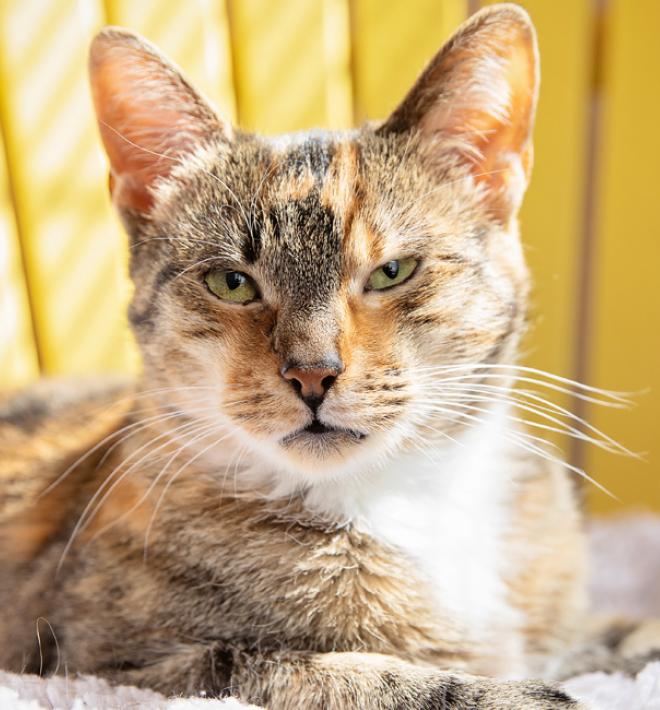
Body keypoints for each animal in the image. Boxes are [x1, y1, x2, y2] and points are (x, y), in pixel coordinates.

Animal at [0, 5, 656, 710]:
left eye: (392, 271)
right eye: (232, 282)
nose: (312, 373)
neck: (400, 493)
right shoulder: (117, 663)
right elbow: (340, 675)